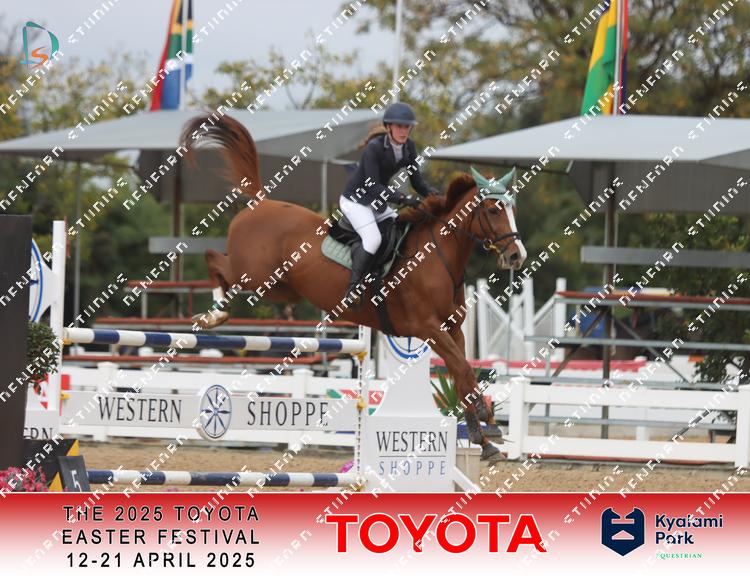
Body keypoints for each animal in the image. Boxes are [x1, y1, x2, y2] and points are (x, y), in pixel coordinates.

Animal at [180, 114, 527, 462]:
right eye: (493, 210)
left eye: (513, 210)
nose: (516, 255)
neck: (436, 255)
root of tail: (261, 203)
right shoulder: (428, 327)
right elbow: (464, 372)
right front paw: (487, 424)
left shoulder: (452, 329)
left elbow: (461, 374)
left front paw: (485, 438)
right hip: (254, 275)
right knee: (214, 260)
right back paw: (214, 316)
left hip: (281, 288)